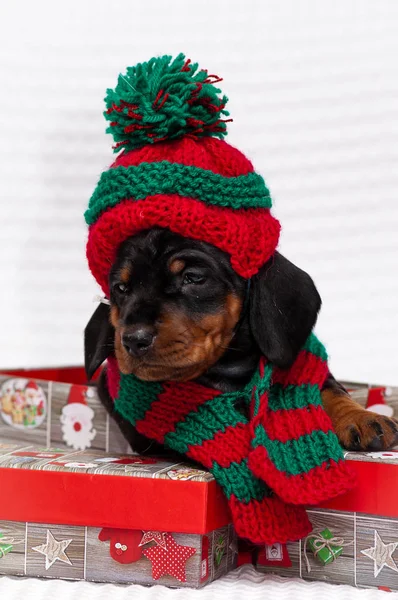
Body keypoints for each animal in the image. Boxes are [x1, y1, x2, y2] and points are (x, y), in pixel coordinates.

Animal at [84, 227, 398, 458]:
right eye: (121, 288)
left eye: (192, 278)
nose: (133, 340)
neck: (228, 367)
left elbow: (331, 389)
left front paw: (361, 418)